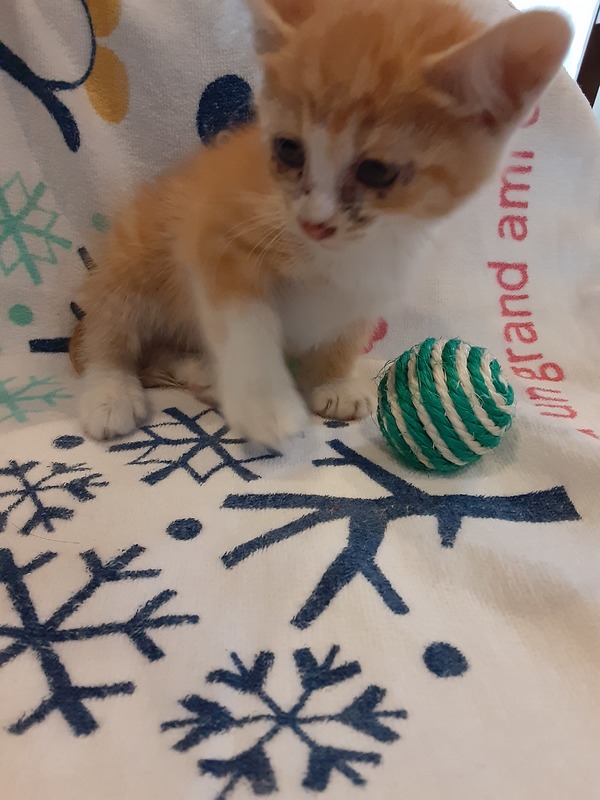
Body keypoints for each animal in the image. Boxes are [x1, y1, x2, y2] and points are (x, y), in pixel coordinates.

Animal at [70, 0, 572, 447]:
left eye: (376, 172)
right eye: (289, 149)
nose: (313, 223)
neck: (354, 250)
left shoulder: (377, 280)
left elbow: (350, 326)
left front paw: (334, 380)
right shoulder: (212, 227)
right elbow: (245, 318)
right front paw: (264, 404)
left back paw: (200, 370)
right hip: (134, 256)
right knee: (109, 329)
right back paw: (112, 390)